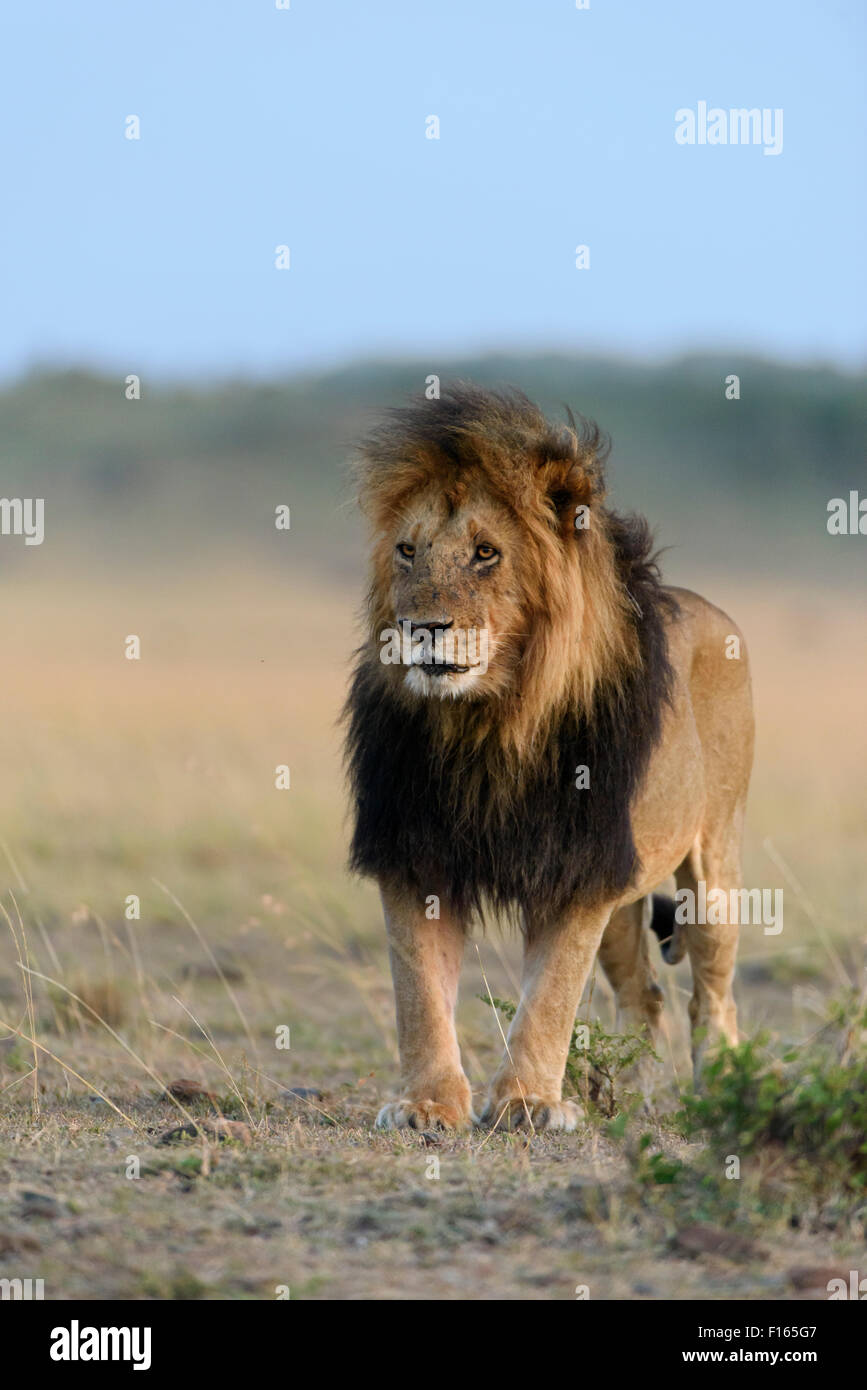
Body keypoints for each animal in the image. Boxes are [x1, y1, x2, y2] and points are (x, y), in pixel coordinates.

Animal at [345, 383, 750, 1128]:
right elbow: (417, 991)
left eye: (485, 553)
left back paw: (721, 1091)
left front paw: (528, 1103)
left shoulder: (580, 864)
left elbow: (551, 995)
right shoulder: (412, 850)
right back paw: (630, 1100)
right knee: (645, 996)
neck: (487, 722)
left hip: (713, 870)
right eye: (407, 550)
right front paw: (425, 1105)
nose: (419, 628)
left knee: (712, 996)